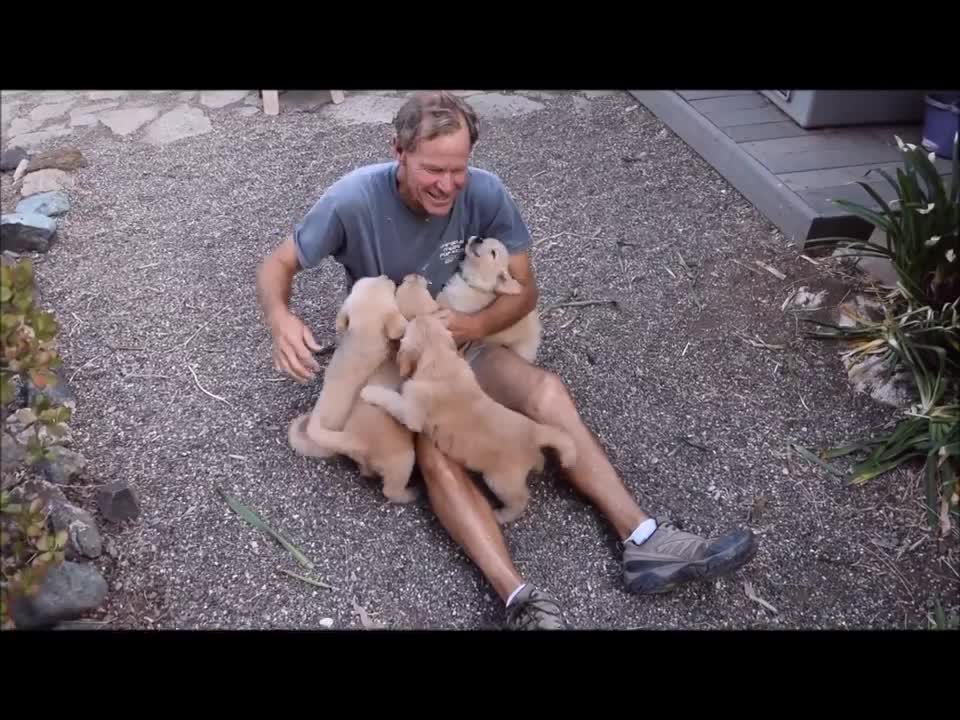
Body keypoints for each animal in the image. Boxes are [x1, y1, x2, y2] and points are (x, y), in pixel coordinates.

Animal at [358, 316, 568, 524]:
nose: (415, 316)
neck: (440, 362)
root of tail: (535, 432)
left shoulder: (411, 412)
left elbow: (390, 399)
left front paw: (369, 391)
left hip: (501, 481)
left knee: (520, 500)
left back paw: (502, 515)